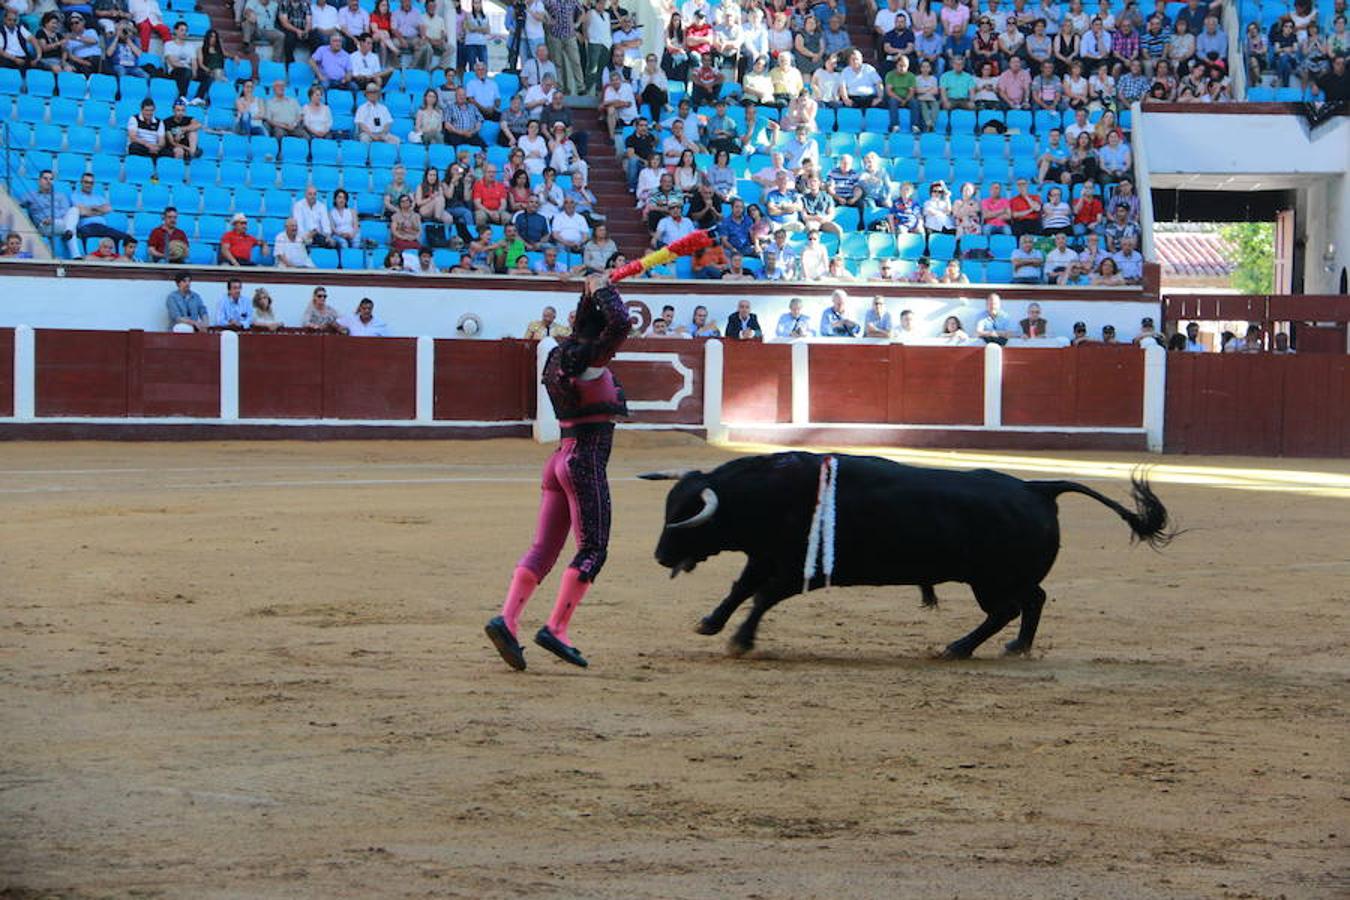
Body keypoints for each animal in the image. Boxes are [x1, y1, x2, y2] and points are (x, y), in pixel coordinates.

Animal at [642, 453, 1171, 658]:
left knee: (1009, 608)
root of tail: (1037, 487)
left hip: (989, 580)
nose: (661, 556)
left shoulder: (796, 570)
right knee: (1033, 601)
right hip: (1003, 577)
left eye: (687, 516)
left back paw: (959, 647)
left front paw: (740, 640)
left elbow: (762, 597)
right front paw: (710, 624)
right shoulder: (765, 556)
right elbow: (741, 589)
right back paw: (1013, 647)